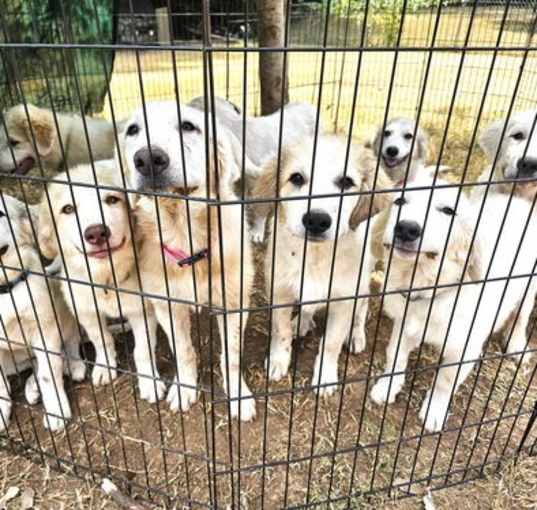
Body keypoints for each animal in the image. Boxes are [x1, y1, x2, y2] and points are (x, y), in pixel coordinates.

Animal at [0, 193, 84, 432]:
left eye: (0, 213)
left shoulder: (44, 330)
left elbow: (48, 375)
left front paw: (56, 410)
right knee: (31, 366)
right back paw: (31, 388)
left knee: (67, 349)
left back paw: (74, 366)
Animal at [38, 160, 164, 402]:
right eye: (68, 209)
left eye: (112, 200)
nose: (96, 233)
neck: (106, 278)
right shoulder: (86, 312)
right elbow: (101, 340)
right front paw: (105, 367)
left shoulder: (142, 311)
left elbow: (142, 350)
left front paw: (150, 382)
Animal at [118, 100, 258, 422]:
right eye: (133, 130)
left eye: (188, 126)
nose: (148, 159)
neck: (186, 235)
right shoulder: (168, 306)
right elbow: (183, 351)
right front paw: (184, 388)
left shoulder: (234, 303)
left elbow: (232, 356)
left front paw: (238, 396)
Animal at [370, 174, 532, 430]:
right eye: (400, 201)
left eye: (448, 210)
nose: (407, 228)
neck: (428, 288)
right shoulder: (404, 326)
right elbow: (395, 356)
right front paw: (387, 387)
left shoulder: (465, 349)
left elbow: (445, 381)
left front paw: (434, 411)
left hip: (528, 288)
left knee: (521, 317)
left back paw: (516, 345)